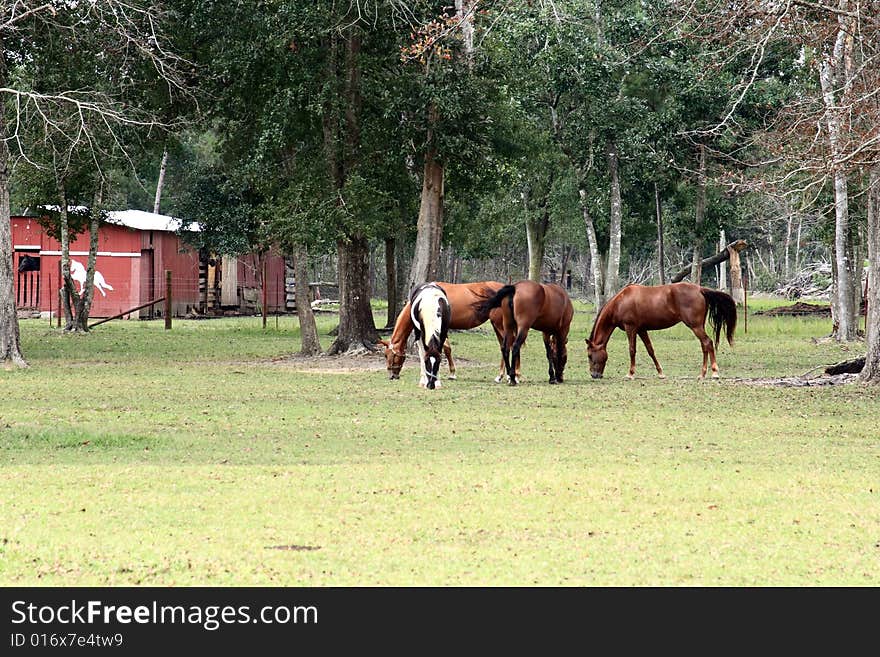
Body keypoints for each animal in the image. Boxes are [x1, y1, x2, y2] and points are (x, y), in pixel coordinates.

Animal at [376, 280, 512, 382]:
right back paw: (501, 376)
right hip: (496, 325)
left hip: (498, 324)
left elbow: (445, 349)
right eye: (385, 355)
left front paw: (450, 374)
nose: (392, 376)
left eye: (391, 355)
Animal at [588, 282, 740, 380]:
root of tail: (700, 289)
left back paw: (714, 373)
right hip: (699, 326)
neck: (621, 301)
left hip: (695, 326)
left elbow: (632, 350)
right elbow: (650, 350)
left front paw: (630, 374)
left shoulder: (630, 328)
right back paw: (702, 374)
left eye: (589, 355)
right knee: (704, 346)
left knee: (708, 343)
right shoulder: (641, 330)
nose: (594, 375)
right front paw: (660, 373)